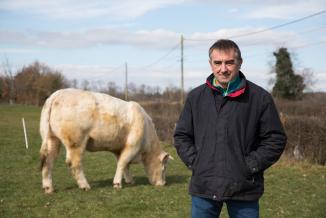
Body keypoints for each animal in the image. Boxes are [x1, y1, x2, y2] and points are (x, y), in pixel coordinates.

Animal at [39, 87, 172, 193]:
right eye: (164, 168)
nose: (163, 184)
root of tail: (56, 94)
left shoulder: (119, 148)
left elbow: (124, 164)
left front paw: (129, 180)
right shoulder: (132, 145)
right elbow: (123, 162)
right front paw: (117, 184)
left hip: (52, 139)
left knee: (48, 161)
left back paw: (48, 188)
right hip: (76, 141)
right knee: (74, 162)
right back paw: (85, 186)